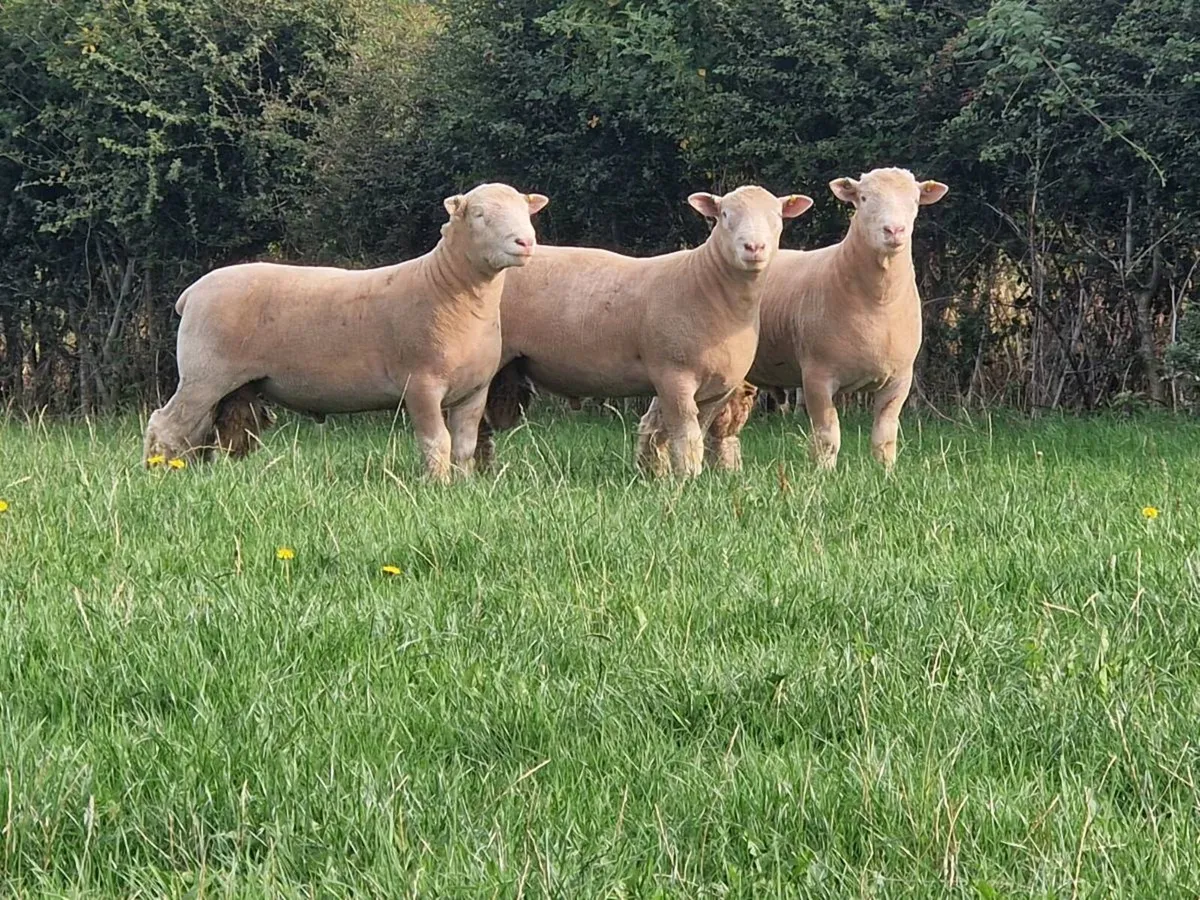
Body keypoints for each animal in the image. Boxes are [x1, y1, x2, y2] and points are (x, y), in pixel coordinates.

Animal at [143, 183, 549, 482]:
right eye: (479, 215)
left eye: (525, 213)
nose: (525, 243)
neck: (450, 287)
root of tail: (191, 293)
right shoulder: (421, 385)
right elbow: (437, 442)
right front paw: (438, 486)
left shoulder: (474, 391)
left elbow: (464, 446)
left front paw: (463, 486)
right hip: (205, 373)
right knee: (165, 424)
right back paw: (158, 474)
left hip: (220, 382)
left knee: (195, 430)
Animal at [475, 186, 813, 477]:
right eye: (725, 215)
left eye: (777, 216)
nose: (754, 247)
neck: (707, 284)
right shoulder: (673, 376)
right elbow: (686, 436)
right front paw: (687, 478)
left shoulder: (717, 389)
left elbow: (699, 432)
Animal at [707, 167, 949, 471]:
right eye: (863, 198)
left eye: (915, 199)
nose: (894, 231)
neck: (878, 300)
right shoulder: (817, 377)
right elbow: (827, 436)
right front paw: (824, 474)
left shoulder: (899, 380)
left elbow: (885, 436)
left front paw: (886, 473)